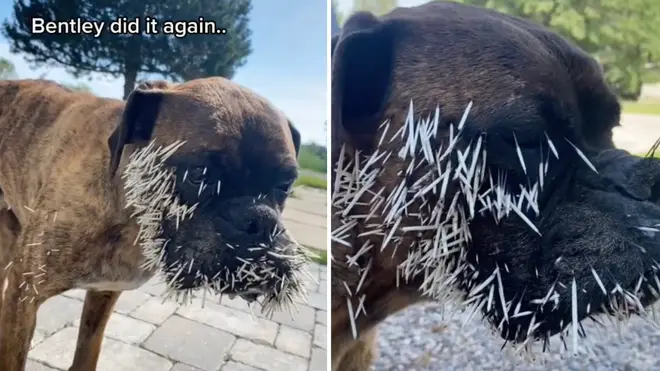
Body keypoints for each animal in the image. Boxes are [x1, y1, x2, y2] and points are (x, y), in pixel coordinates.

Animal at [0, 77, 302, 370]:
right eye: (199, 175)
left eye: (286, 185)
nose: (259, 220)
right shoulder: (23, 297)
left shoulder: (103, 294)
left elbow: (87, 354)